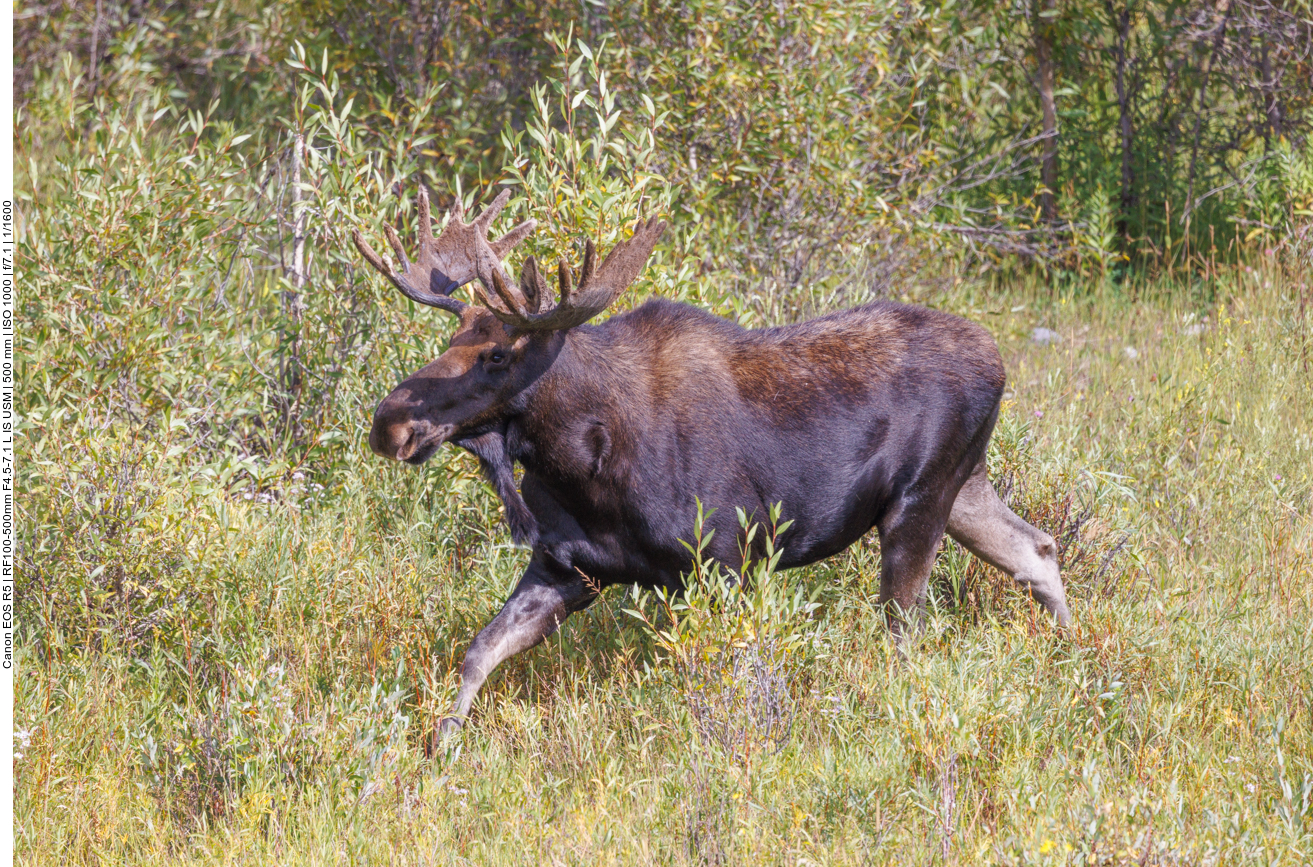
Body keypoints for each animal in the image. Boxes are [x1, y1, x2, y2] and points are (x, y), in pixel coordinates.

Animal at [354, 186, 1071, 740]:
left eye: (497, 355)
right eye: (452, 337)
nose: (388, 423)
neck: (577, 460)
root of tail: (998, 359)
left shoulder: (725, 557)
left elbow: (739, 675)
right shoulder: (566, 565)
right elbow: (478, 652)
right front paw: (440, 747)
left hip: (918, 500)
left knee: (905, 629)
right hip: (963, 485)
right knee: (1036, 548)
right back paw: (1075, 655)